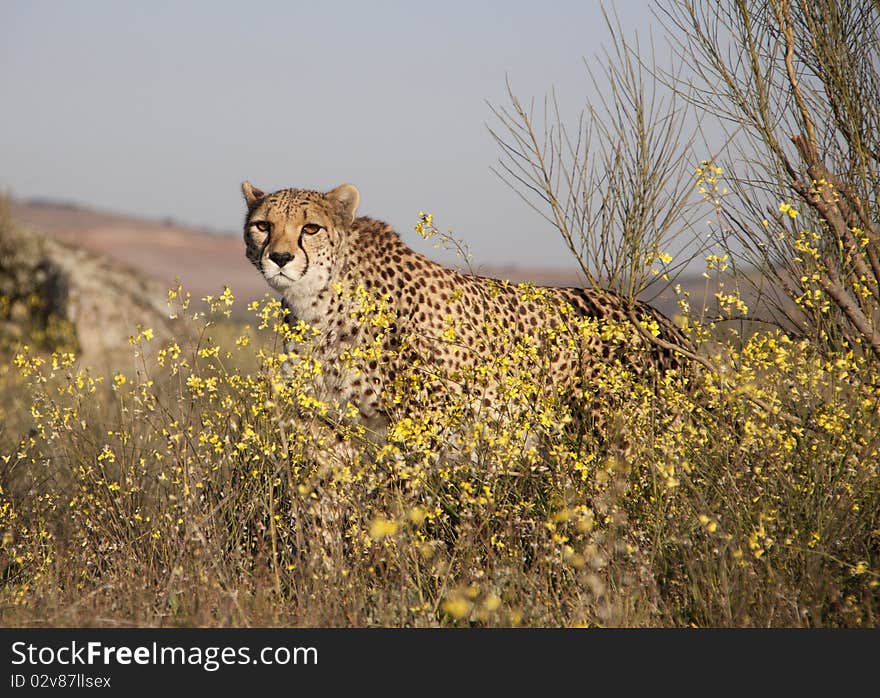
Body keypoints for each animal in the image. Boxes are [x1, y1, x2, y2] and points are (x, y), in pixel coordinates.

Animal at [242, 179, 696, 440]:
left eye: (311, 228)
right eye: (262, 226)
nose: (279, 258)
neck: (319, 300)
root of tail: (658, 319)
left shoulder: (423, 422)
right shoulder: (326, 422)